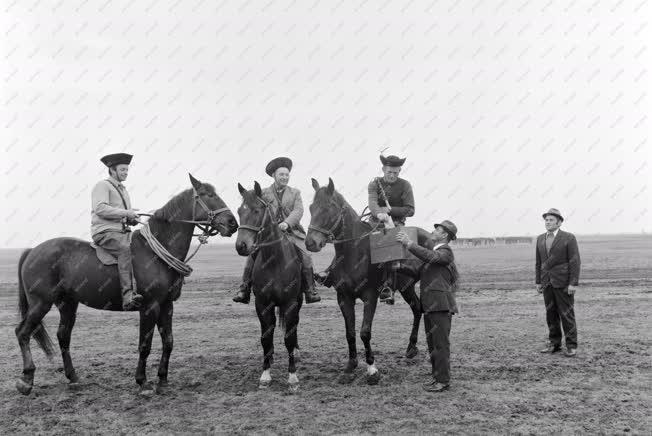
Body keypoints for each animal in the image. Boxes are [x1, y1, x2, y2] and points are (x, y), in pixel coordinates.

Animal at [15, 174, 238, 396]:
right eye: (207, 195)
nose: (233, 223)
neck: (155, 252)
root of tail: (33, 251)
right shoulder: (149, 307)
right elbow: (145, 345)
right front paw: (142, 382)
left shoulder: (167, 305)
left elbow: (168, 342)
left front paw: (163, 381)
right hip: (41, 303)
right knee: (23, 333)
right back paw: (26, 379)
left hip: (68, 304)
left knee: (63, 337)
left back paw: (73, 377)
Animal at [236, 181, 304, 392]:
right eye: (239, 211)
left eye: (257, 210)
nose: (241, 246)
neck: (275, 261)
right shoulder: (263, 304)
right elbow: (266, 338)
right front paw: (265, 375)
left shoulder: (290, 304)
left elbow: (289, 338)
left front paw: (293, 378)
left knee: (294, 327)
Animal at [306, 179, 422, 384]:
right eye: (311, 208)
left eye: (328, 208)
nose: (310, 243)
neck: (354, 253)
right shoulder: (344, 298)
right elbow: (350, 333)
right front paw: (350, 366)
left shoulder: (370, 297)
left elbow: (364, 332)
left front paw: (372, 369)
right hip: (406, 288)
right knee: (417, 308)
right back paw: (411, 348)